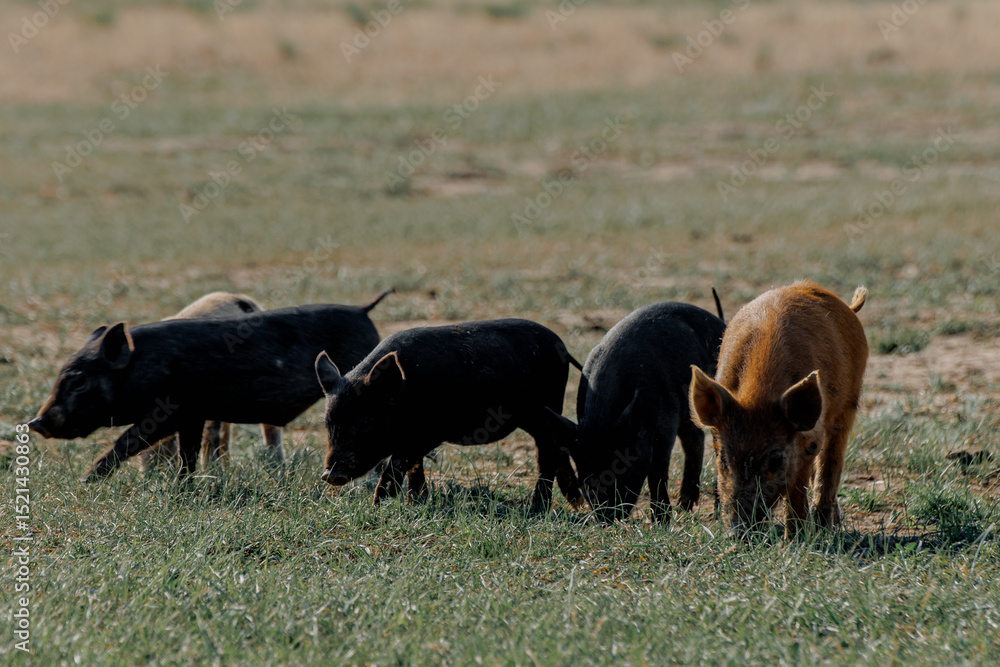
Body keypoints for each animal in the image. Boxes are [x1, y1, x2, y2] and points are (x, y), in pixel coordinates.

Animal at [314, 319, 585, 512]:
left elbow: (398, 464)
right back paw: (575, 503)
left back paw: (537, 509)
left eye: (365, 422)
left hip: (546, 405)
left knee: (547, 452)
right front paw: (416, 503)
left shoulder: (428, 434)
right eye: (328, 424)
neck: (403, 394)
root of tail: (561, 346)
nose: (331, 475)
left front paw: (378, 505)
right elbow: (414, 467)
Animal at [544, 294, 726, 522]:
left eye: (623, 468)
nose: (607, 517)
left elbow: (658, 471)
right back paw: (685, 507)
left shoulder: (666, 422)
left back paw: (716, 511)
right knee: (695, 438)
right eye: (585, 477)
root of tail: (720, 322)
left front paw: (661, 521)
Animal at [689, 280, 868, 538]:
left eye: (775, 460)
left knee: (831, 461)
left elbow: (796, 489)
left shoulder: (810, 440)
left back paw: (826, 528)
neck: (760, 393)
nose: (738, 532)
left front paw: (795, 540)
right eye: (723, 459)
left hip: (849, 403)